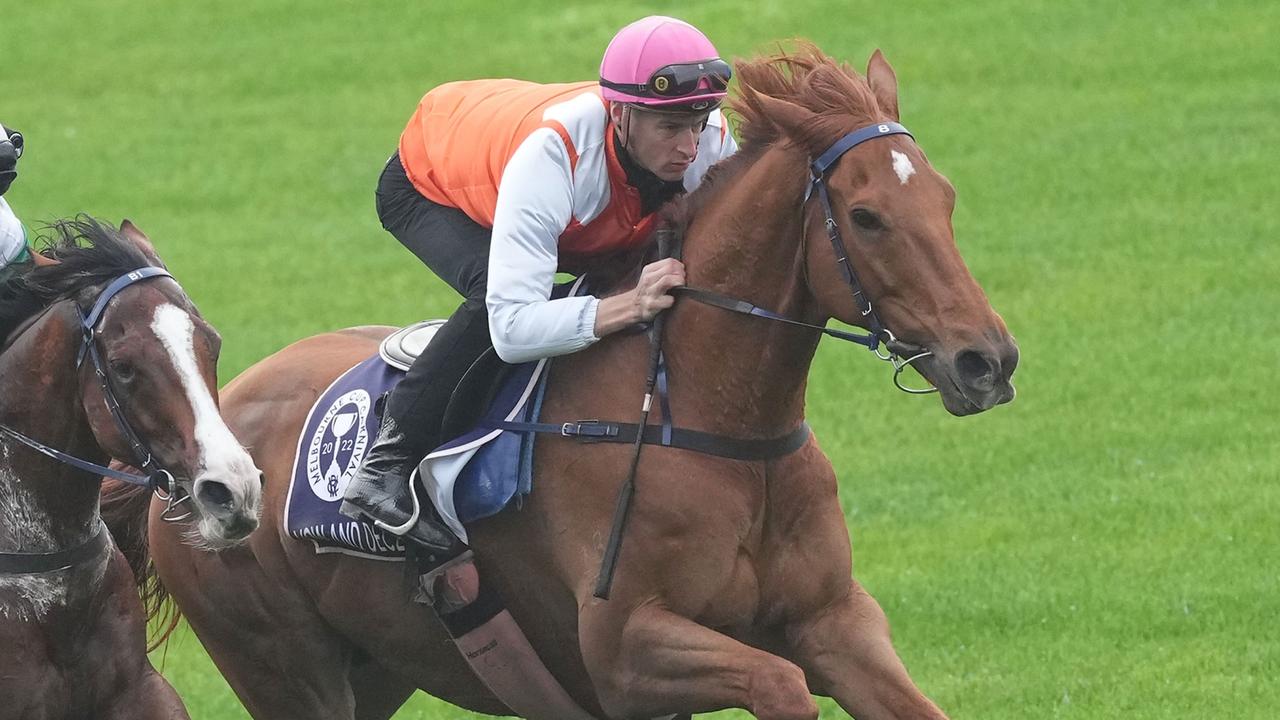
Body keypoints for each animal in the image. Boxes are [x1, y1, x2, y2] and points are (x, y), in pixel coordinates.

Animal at [107, 47, 1018, 712]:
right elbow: (781, 684)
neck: (715, 424)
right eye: (866, 217)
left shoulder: (836, 620)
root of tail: (196, 448)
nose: (988, 361)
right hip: (285, 670)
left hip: (380, 668)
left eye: (946, 198)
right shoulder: (625, 648)